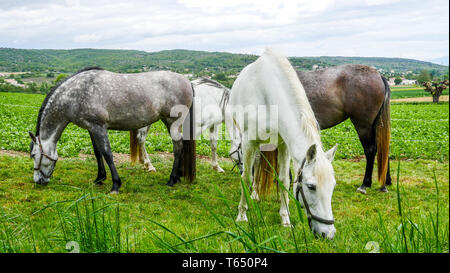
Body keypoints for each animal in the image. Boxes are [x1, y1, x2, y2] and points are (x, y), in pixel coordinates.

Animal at [29, 67, 196, 192]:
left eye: (33, 155)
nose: (38, 181)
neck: (74, 94)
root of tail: (187, 81)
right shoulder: (91, 128)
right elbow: (97, 152)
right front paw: (100, 178)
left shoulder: (99, 127)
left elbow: (107, 153)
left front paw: (115, 184)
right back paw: (178, 176)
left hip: (171, 121)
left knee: (178, 147)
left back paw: (171, 180)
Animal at [225, 49, 338, 238]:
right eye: (311, 187)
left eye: (332, 186)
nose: (327, 234)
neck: (268, 95)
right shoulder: (249, 142)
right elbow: (246, 176)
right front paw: (241, 215)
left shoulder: (284, 144)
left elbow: (284, 179)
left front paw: (285, 219)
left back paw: (256, 193)